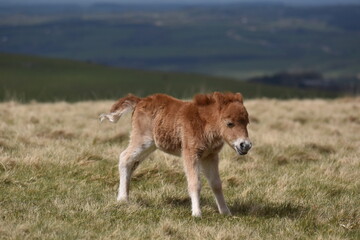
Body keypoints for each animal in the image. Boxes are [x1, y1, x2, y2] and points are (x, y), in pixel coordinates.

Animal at [100, 92, 252, 218]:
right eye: (230, 123)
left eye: (246, 122)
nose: (245, 145)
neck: (203, 122)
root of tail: (140, 101)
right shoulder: (190, 153)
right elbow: (195, 183)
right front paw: (197, 213)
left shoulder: (210, 156)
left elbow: (216, 184)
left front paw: (226, 212)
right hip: (142, 140)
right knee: (124, 158)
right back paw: (122, 199)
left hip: (151, 145)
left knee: (132, 163)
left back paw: (126, 196)